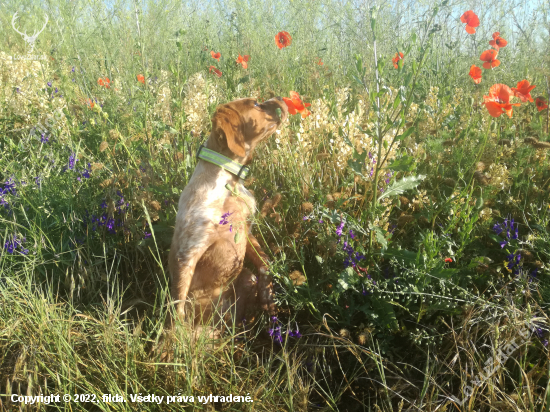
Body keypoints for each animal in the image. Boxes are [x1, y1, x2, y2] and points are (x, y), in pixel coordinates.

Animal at [168, 96, 288, 326]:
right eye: (256, 104)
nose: (280, 98)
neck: (228, 183)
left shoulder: (247, 231)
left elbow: (265, 263)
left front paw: (268, 295)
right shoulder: (188, 252)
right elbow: (177, 308)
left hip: (246, 279)